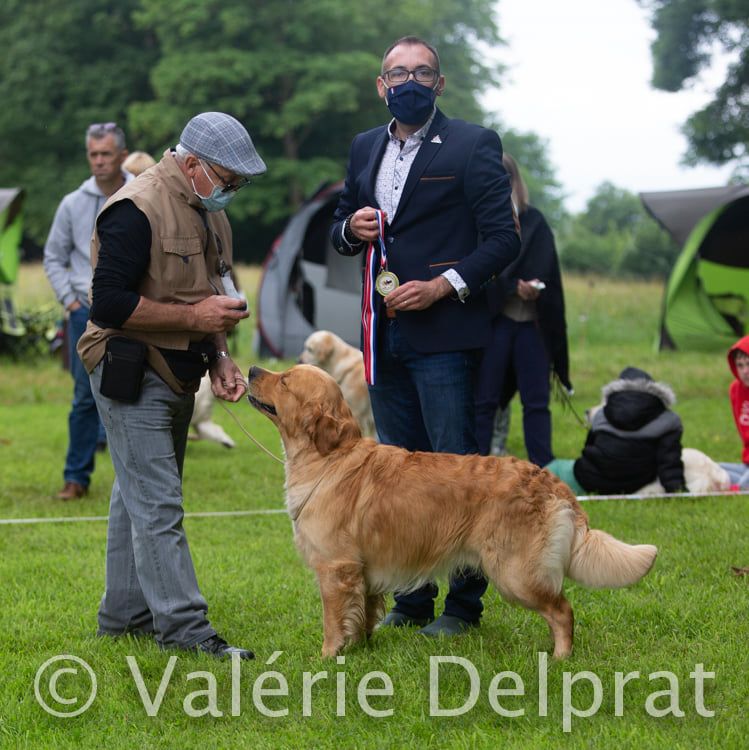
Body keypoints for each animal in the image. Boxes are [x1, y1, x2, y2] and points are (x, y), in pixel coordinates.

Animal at [245, 368, 656, 660]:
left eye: (284, 380)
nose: (250, 369)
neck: (328, 457)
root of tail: (551, 481)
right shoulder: (362, 572)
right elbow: (362, 614)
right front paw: (360, 649)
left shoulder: (336, 568)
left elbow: (333, 621)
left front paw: (328, 657)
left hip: (516, 574)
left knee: (562, 610)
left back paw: (560, 658)